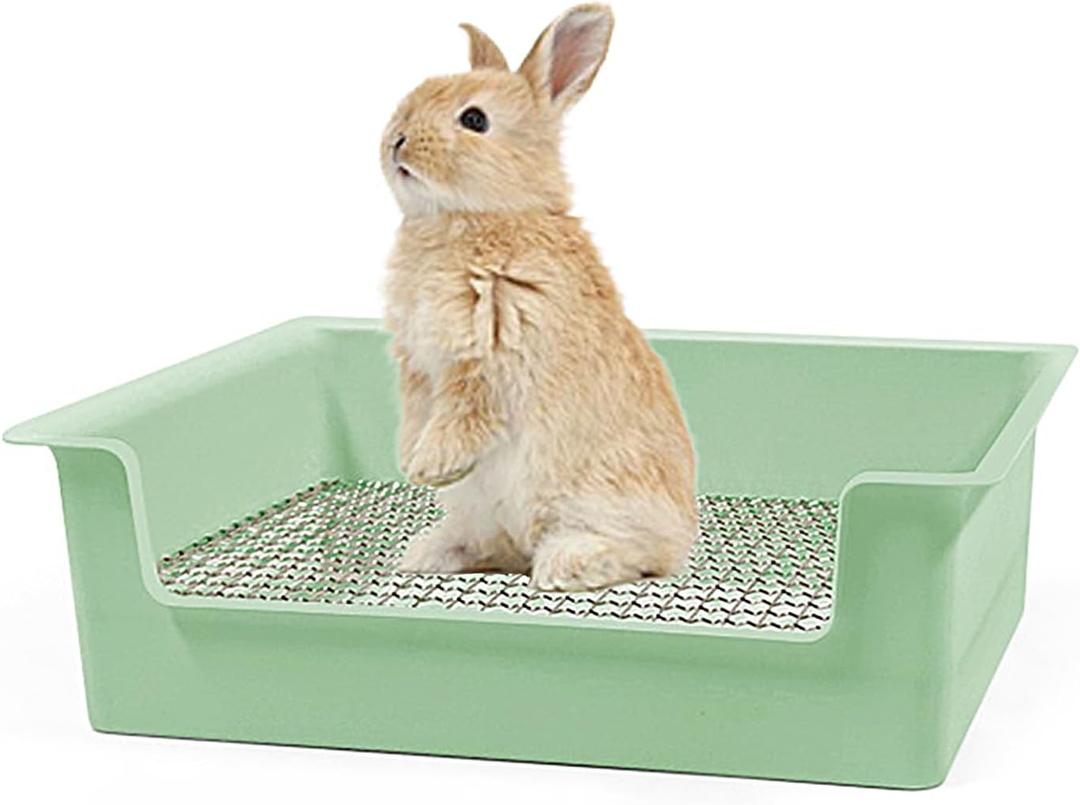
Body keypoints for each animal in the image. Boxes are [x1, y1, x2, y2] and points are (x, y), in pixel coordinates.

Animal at [381, 4, 698, 591]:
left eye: (474, 120)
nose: (397, 139)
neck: (482, 216)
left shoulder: (487, 355)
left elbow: (462, 415)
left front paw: (430, 466)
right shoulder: (416, 365)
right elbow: (417, 415)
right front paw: (412, 461)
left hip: (604, 500)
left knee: (641, 556)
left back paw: (565, 563)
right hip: (484, 516)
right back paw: (427, 553)